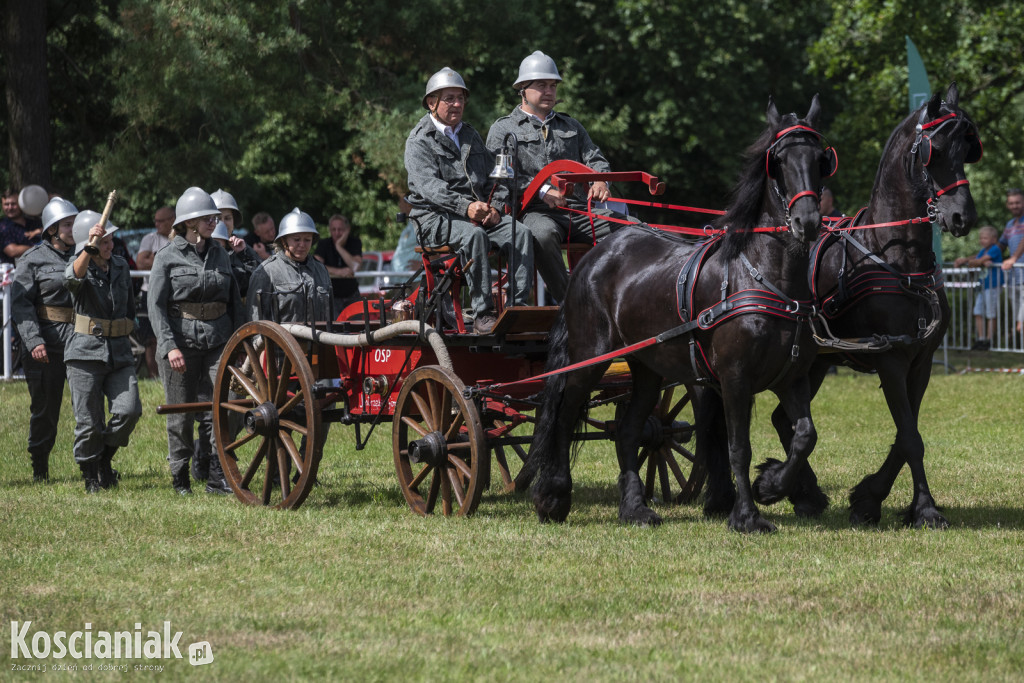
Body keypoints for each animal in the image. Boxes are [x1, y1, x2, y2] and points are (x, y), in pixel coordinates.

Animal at [528, 97, 831, 532]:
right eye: (779, 160)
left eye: (821, 159)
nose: (807, 221)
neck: (766, 275)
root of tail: (594, 257)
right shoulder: (734, 378)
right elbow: (739, 446)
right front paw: (746, 516)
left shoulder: (793, 377)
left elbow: (805, 436)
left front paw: (771, 485)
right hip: (590, 357)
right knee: (566, 415)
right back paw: (553, 496)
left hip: (647, 368)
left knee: (627, 430)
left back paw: (635, 508)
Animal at [716, 81, 978, 528]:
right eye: (936, 151)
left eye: (967, 148)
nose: (962, 216)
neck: (897, 257)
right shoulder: (890, 358)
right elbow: (910, 437)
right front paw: (924, 508)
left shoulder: (921, 361)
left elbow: (906, 434)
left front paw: (871, 498)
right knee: (785, 422)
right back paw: (789, 487)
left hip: (816, 362)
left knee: (785, 421)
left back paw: (802, 491)